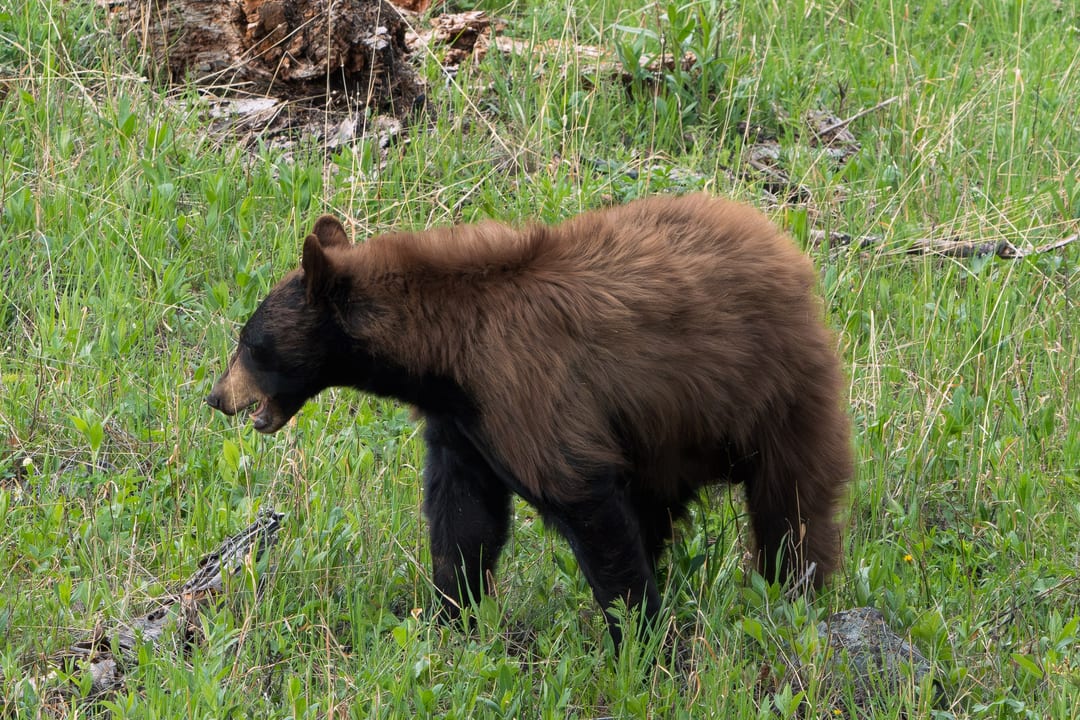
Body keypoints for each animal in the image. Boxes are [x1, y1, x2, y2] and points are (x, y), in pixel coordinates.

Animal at [206, 194, 853, 648]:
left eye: (248, 342)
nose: (216, 397)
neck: (442, 351)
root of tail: (784, 248)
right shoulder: (463, 424)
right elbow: (464, 519)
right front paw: (452, 617)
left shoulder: (527, 394)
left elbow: (583, 500)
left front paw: (643, 644)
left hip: (774, 391)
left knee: (791, 506)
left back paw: (795, 592)